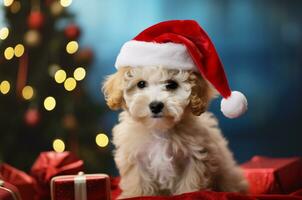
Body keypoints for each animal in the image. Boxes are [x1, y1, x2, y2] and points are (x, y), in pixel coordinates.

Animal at [102, 66, 248, 198]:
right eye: (141, 84)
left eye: (171, 84)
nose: (155, 105)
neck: (159, 129)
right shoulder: (135, 156)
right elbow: (138, 180)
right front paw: (136, 194)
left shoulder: (196, 156)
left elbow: (190, 181)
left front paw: (190, 193)